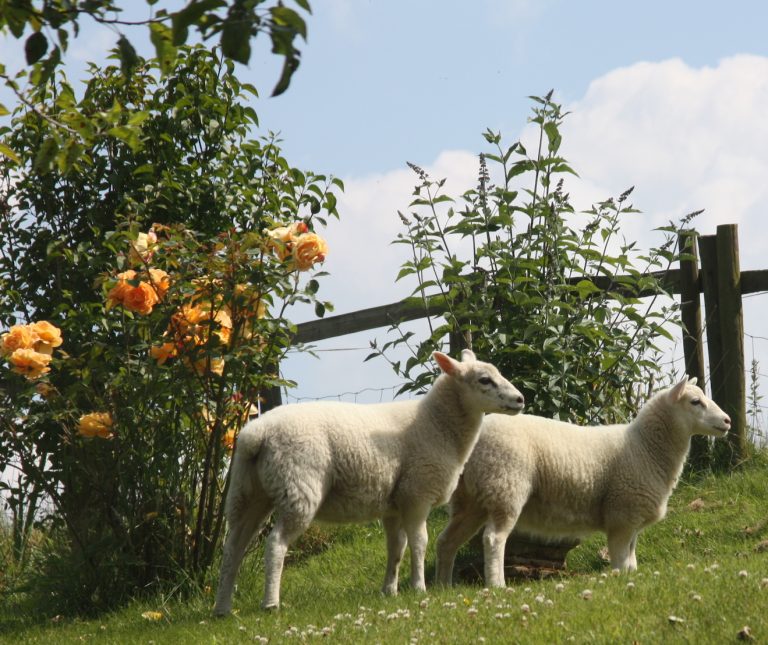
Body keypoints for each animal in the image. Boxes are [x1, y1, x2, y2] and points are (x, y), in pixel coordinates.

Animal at [213, 349, 525, 614]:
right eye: (484, 380)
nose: (520, 400)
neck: (436, 425)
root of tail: (257, 434)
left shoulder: (394, 503)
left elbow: (396, 547)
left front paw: (390, 590)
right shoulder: (417, 493)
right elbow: (419, 542)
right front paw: (419, 588)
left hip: (246, 492)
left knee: (232, 548)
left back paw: (222, 608)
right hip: (298, 487)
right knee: (275, 544)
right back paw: (270, 604)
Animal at [435, 376, 731, 588]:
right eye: (695, 402)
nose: (727, 421)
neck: (645, 448)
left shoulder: (631, 519)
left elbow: (632, 558)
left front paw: (632, 577)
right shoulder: (622, 515)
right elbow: (621, 560)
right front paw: (621, 582)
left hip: (471, 500)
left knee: (446, 541)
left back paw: (443, 587)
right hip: (505, 487)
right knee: (494, 539)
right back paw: (497, 586)